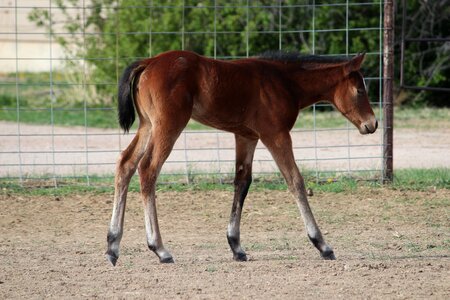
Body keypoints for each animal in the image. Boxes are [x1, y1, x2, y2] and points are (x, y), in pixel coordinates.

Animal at [105, 49, 376, 264]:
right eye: (359, 90)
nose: (372, 124)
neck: (284, 82)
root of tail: (149, 62)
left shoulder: (247, 137)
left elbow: (242, 182)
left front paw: (236, 246)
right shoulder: (276, 135)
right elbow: (295, 181)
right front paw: (322, 244)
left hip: (148, 125)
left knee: (126, 164)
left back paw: (113, 245)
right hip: (168, 125)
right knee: (148, 169)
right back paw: (159, 249)